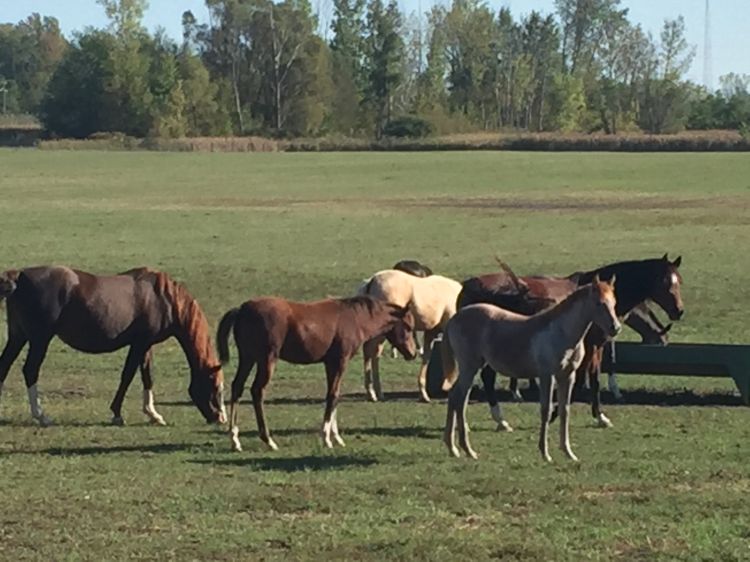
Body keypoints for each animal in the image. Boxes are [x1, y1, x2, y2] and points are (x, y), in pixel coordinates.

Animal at [0, 264, 226, 422]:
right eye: (215, 387)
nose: (220, 419)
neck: (162, 297)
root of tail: (20, 276)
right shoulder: (139, 344)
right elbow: (128, 375)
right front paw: (117, 413)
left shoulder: (146, 345)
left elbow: (147, 376)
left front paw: (153, 414)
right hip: (40, 340)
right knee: (30, 370)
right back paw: (41, 415)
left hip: (18, 337)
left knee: (5, 365)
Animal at [216, 294, 418, 450]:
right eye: (408, 327)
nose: (413, 353)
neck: (354, 319)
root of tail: (242, 309)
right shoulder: (340, 362)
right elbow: (333, 395)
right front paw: (327, 438)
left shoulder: (330, 364)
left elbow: (334, 395)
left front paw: (336, 437)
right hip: (267, 360)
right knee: (257, 391)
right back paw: (269, 440)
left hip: (248, 358)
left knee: (237, 387)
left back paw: (235, 439)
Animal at [358, 270, 464, 400]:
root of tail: (372, 280)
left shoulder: (431, 332)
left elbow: (426, 357)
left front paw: (423, 392)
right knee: (371, 352)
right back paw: (372, 393)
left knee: (373, 354)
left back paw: (377, 392)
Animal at [440, 274, 624, 460]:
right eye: (599, 303)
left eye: (614, 302)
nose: (615, 328)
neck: (560, 331)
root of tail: (455, 318)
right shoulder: (547, 375)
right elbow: (546, 410)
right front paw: (545, 453)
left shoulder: (567, 375)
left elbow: (565, 410)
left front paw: (568, 452)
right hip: (469, 366)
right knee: (459, 398)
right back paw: (467, 449)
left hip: (471, 368)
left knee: (456, 397)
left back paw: (454, 448)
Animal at [458, 255, 688, 428]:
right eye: (665, 282)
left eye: (679, 280)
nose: (679, 311)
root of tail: (468, 287)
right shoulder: (589, 345)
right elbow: (584, 378)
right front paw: (557, 413)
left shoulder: (594, 345)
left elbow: (591, 377)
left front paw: (598, 415)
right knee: (487, 376)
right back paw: (500, 419)